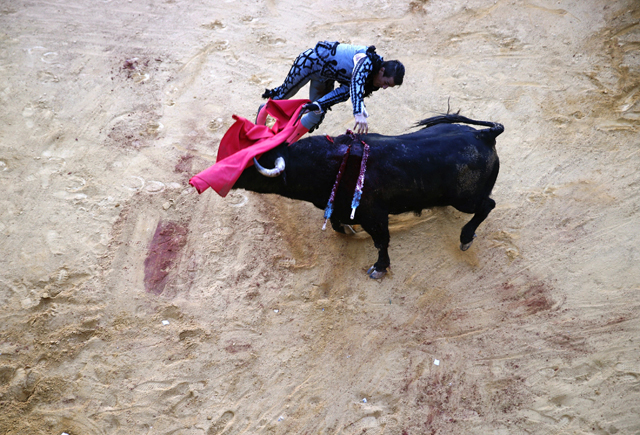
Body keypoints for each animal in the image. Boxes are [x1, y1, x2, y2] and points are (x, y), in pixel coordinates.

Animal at [231, 113, 504, 280]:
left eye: (251, 163)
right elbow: (336, 223)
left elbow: (381, 242)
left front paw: (379, 268)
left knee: (487, 205)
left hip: (465, 199)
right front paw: (347, 230)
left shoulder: (375, 215)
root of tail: (483, 135)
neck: (328, 164)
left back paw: (465, 237)